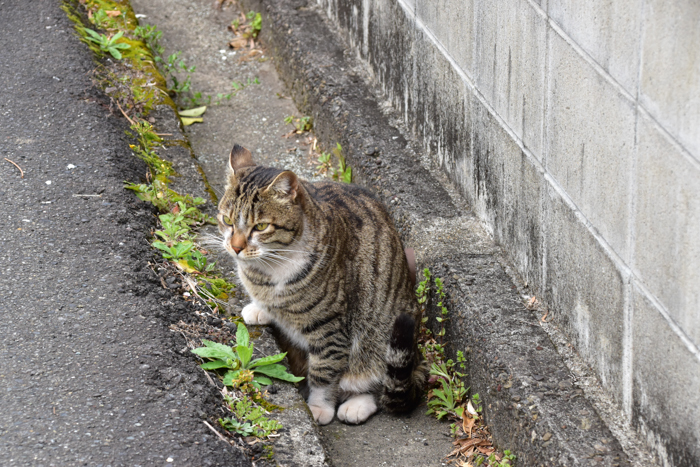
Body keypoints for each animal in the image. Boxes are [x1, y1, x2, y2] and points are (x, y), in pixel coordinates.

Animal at [219, 144, 426, 426]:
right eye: (227, 221)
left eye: (260, 226)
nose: (236, 247)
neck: (268, 271)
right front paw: (259, 309)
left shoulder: (329, 328)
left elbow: (323, 374)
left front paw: (318, 407)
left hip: (383, 334)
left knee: (378, 385)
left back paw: (356, 405)